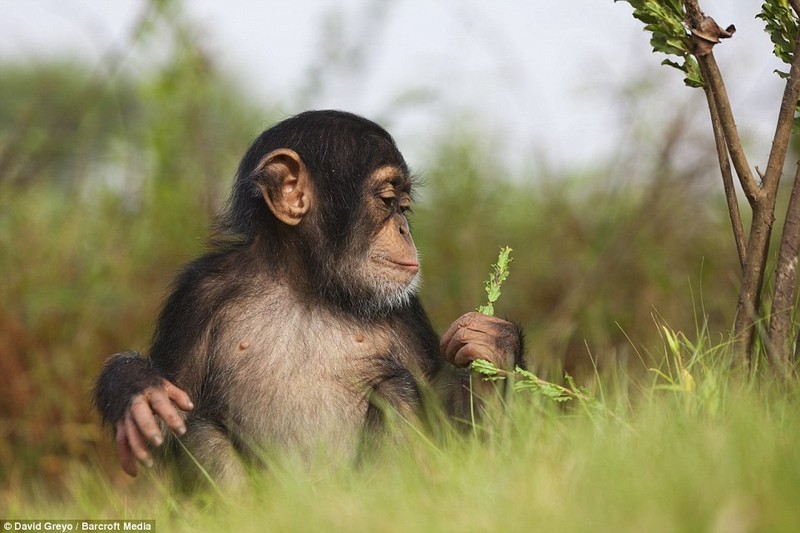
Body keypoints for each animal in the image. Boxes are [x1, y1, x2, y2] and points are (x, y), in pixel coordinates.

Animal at [94, 111, 524, 486]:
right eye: (387, 199)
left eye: (405, 204)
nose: (403, 226)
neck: (305, 285)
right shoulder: (195, 296)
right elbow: (173, 393)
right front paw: (137, 390)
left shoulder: (407, 311)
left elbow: (443, 416)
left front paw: (492, 347)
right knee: (196, 425)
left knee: (395, 389)